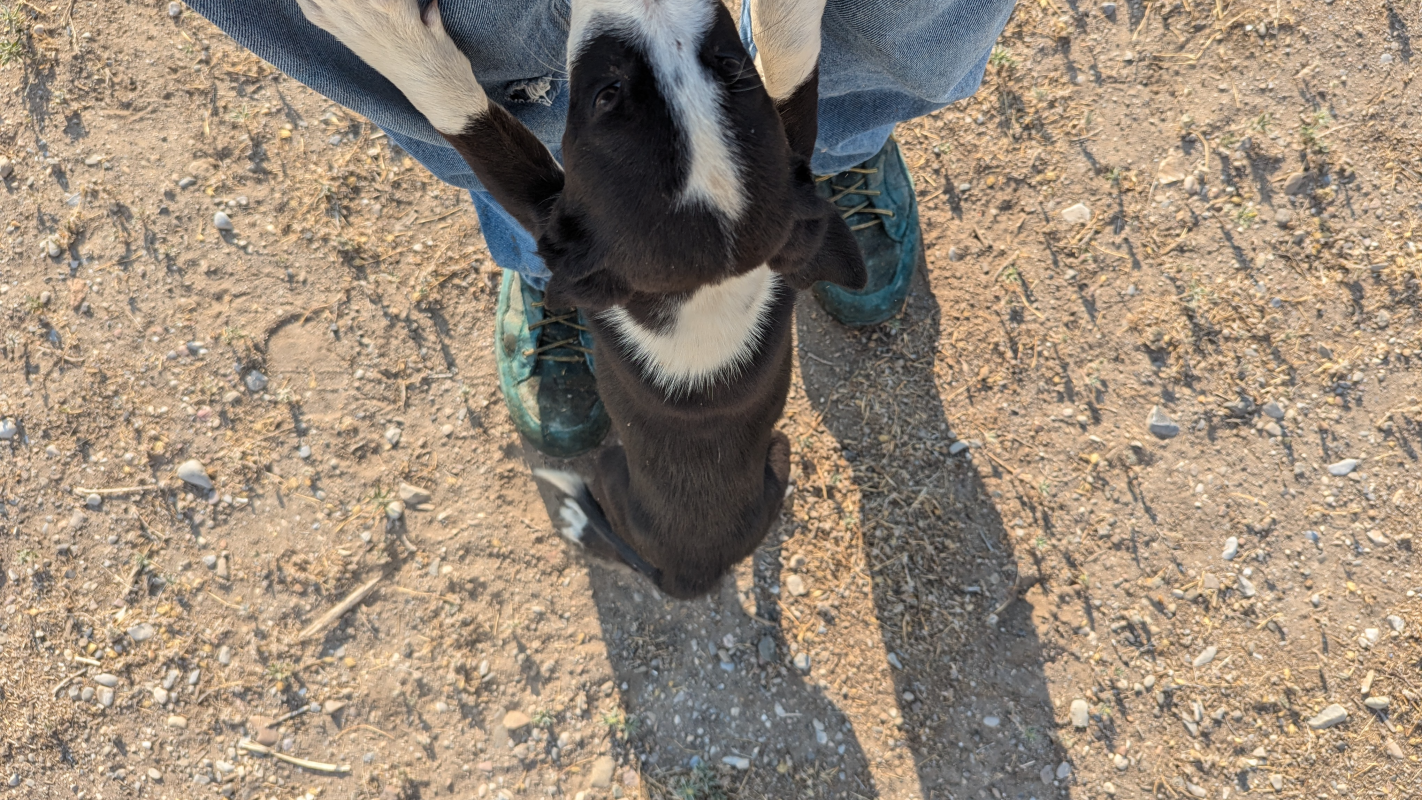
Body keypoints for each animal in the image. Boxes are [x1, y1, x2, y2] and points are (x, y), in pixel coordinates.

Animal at [302, 0, 864, 596]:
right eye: (733, 65)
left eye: (602, 95)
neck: (701, 290)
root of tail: (683, 576)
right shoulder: (790, 184)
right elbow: (796, 65)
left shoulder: (547, 213)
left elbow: (475, 127)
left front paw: (386, 33)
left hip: (622, 467)